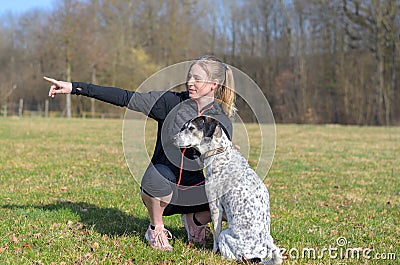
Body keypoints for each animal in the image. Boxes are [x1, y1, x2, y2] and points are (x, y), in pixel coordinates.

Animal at [172, 116, 282, 262]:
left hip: (226, 234)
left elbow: (216, 234)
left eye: (191, 128)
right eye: (184, 127)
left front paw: (213, 252)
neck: (219, 152)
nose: (172, 139)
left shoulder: (215, 206)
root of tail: (259, 253)